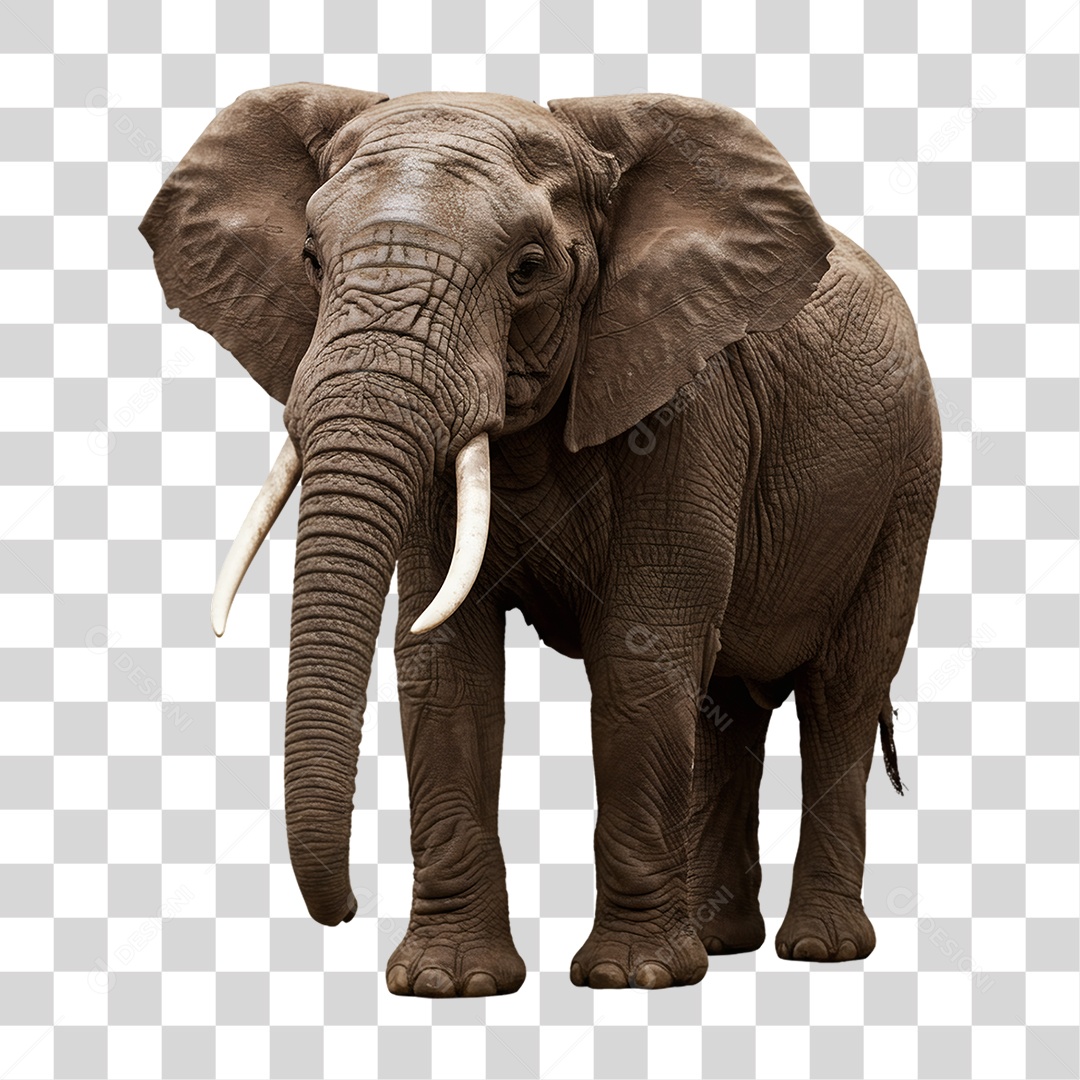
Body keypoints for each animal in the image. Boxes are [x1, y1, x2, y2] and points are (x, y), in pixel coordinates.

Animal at [140, 84, 942, 995]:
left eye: (527, 270)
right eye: (311, 259)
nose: (342, 910)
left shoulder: (689, 401)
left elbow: (639, 652)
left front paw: (632, 979)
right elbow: (442, 658)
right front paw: (449, 983)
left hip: (907, 483)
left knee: (841, 692)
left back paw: (819, 949)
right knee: (725, 703)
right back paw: (722, 942)